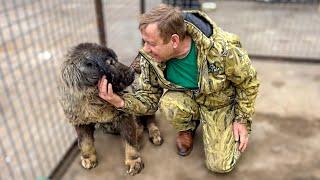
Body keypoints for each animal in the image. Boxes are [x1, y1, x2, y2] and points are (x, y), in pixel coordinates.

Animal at [58, 42, 162, 174]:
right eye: (110, 63)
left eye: (115, 60)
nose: (132, 71)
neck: (93, 98)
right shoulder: (79, 120)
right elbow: (85, 141)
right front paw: (88, 158)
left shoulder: (125, 115)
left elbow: (130, 140)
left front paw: (133, 161)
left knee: (150, 120)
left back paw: (153, 134)